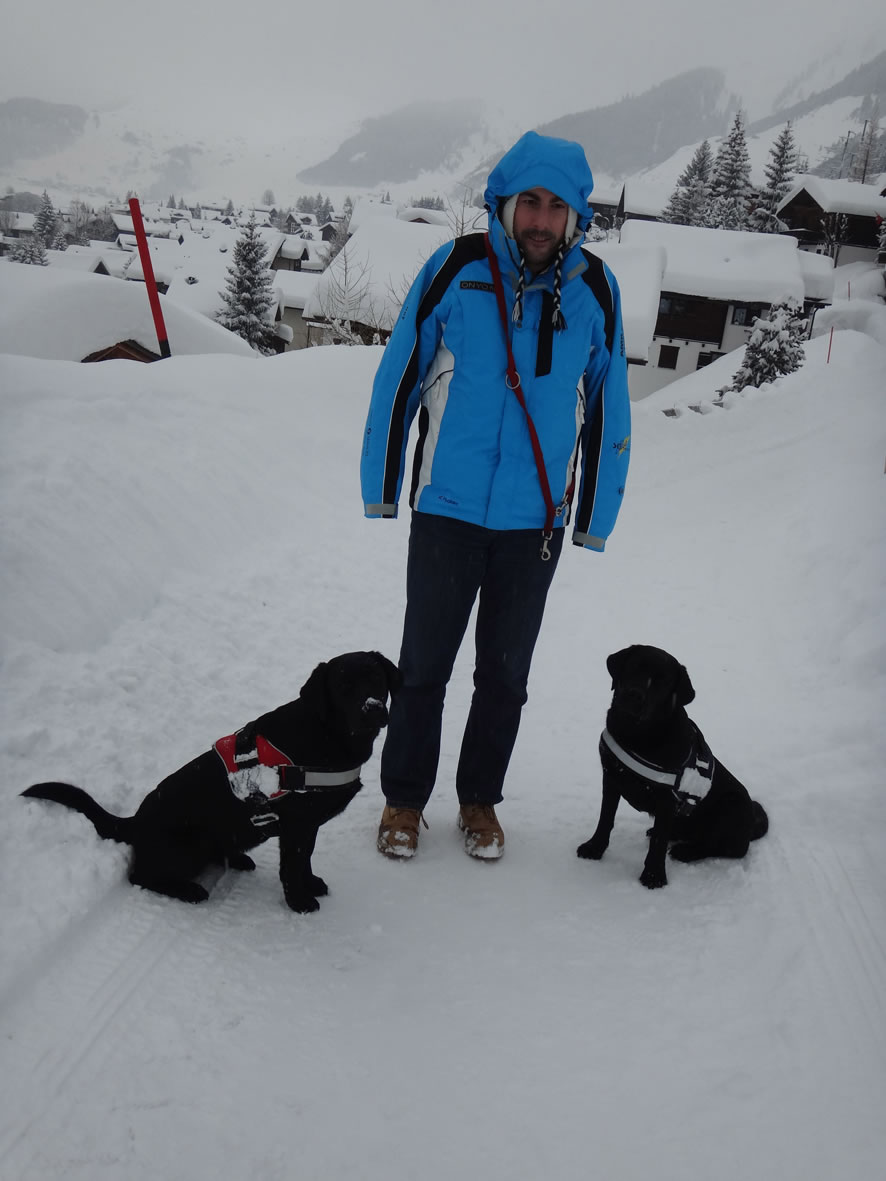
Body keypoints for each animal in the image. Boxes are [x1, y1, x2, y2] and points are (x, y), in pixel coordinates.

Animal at [22, 651, 400, 912]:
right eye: (343, 687)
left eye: (376, 680)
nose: (372, 708)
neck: (326, 735)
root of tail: (135, 821)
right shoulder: (296, 825)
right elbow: (293, 866)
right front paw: (300, 902)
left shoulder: (306, 827)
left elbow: (305, 859)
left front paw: (312, 884)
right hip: (189, 845)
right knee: (139, 876)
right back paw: (189, 890)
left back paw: (237, 859)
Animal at [577, 645, 768, 888]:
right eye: (632, 667)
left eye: (663, 681)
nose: (634, 694)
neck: (636, 733)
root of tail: (751, 826)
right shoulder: (610, 777)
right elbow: (605, 819)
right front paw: (594, 848)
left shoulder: (667, 798)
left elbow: (659, 842)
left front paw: (653, 876)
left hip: (731, 805)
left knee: (728, 848)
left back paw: (685, 851)